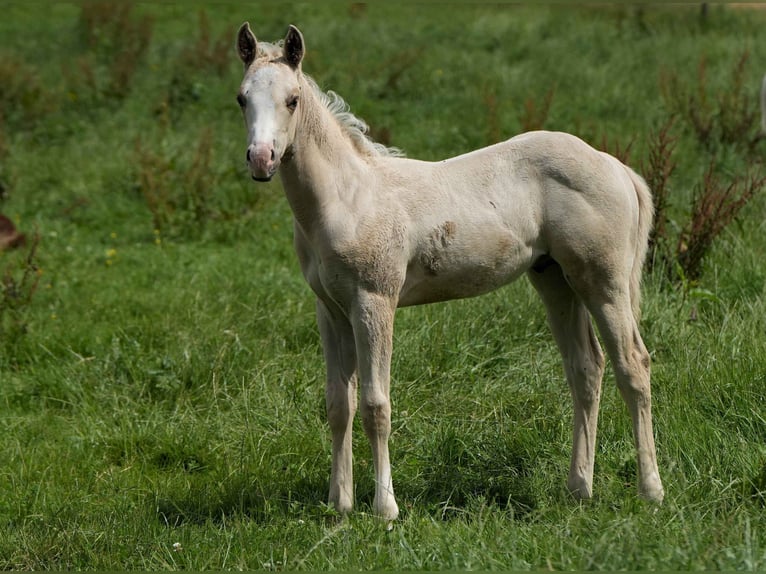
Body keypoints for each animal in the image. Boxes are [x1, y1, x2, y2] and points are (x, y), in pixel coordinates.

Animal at [236, 23, 664, 520]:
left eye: (292, 100)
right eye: (242, 99)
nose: (262, 159)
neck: (347, 199)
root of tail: (615, 165)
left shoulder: (374, 302)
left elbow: (375, 405)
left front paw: (385, 509)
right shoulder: (331, 310)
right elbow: (338, 404)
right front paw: (338, 505)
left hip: (604, 283)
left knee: (632, 365)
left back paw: (651, 490)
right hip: (555, 278)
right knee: (586, 369)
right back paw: (579, 488)